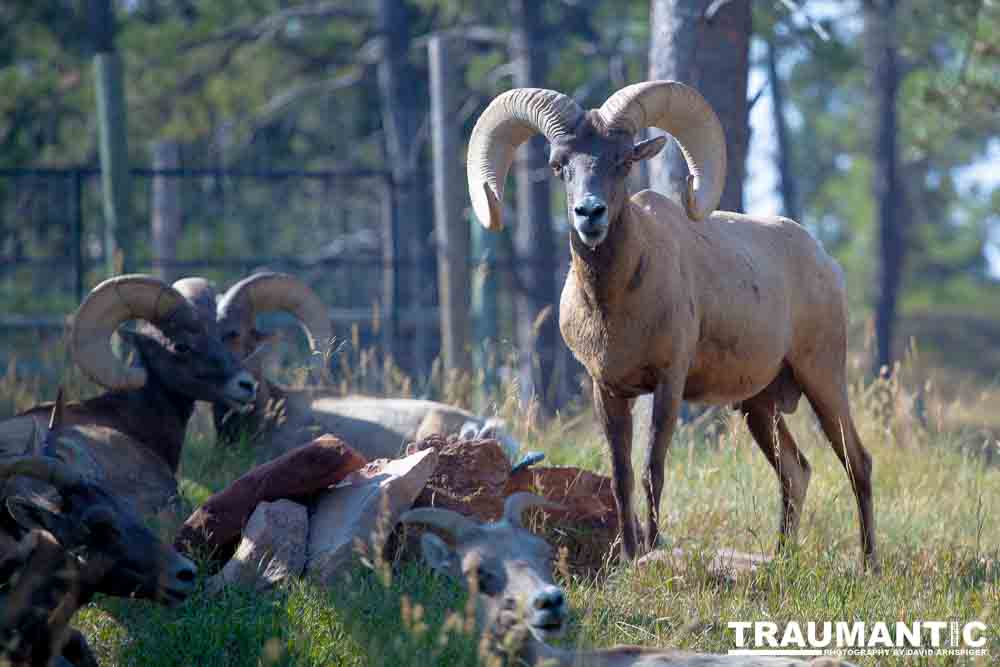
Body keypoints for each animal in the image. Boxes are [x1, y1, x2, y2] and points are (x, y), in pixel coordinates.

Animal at [466, 78, 876, 568]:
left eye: (623, 162)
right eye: (560, 165)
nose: (590, 213)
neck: (614, 308)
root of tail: (825, 262)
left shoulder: (668, 383)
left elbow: (651, 471)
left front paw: (652, 550)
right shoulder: (608, 390)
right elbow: (621, 475)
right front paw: (627, 555)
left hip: (822, 380)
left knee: (858, 463)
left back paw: (870, 565)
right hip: (760, 406)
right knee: (795, 472)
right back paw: (782, 559)